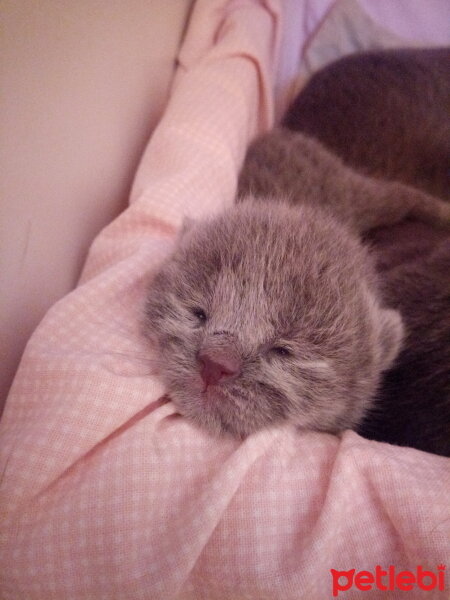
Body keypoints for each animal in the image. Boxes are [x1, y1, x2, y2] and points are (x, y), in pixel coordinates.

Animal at [145, 49, 450, 454]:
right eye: (198, 314)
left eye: (284, 351)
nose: (215, 363)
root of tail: (286, 133)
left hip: (354, 189)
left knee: (404, 195)